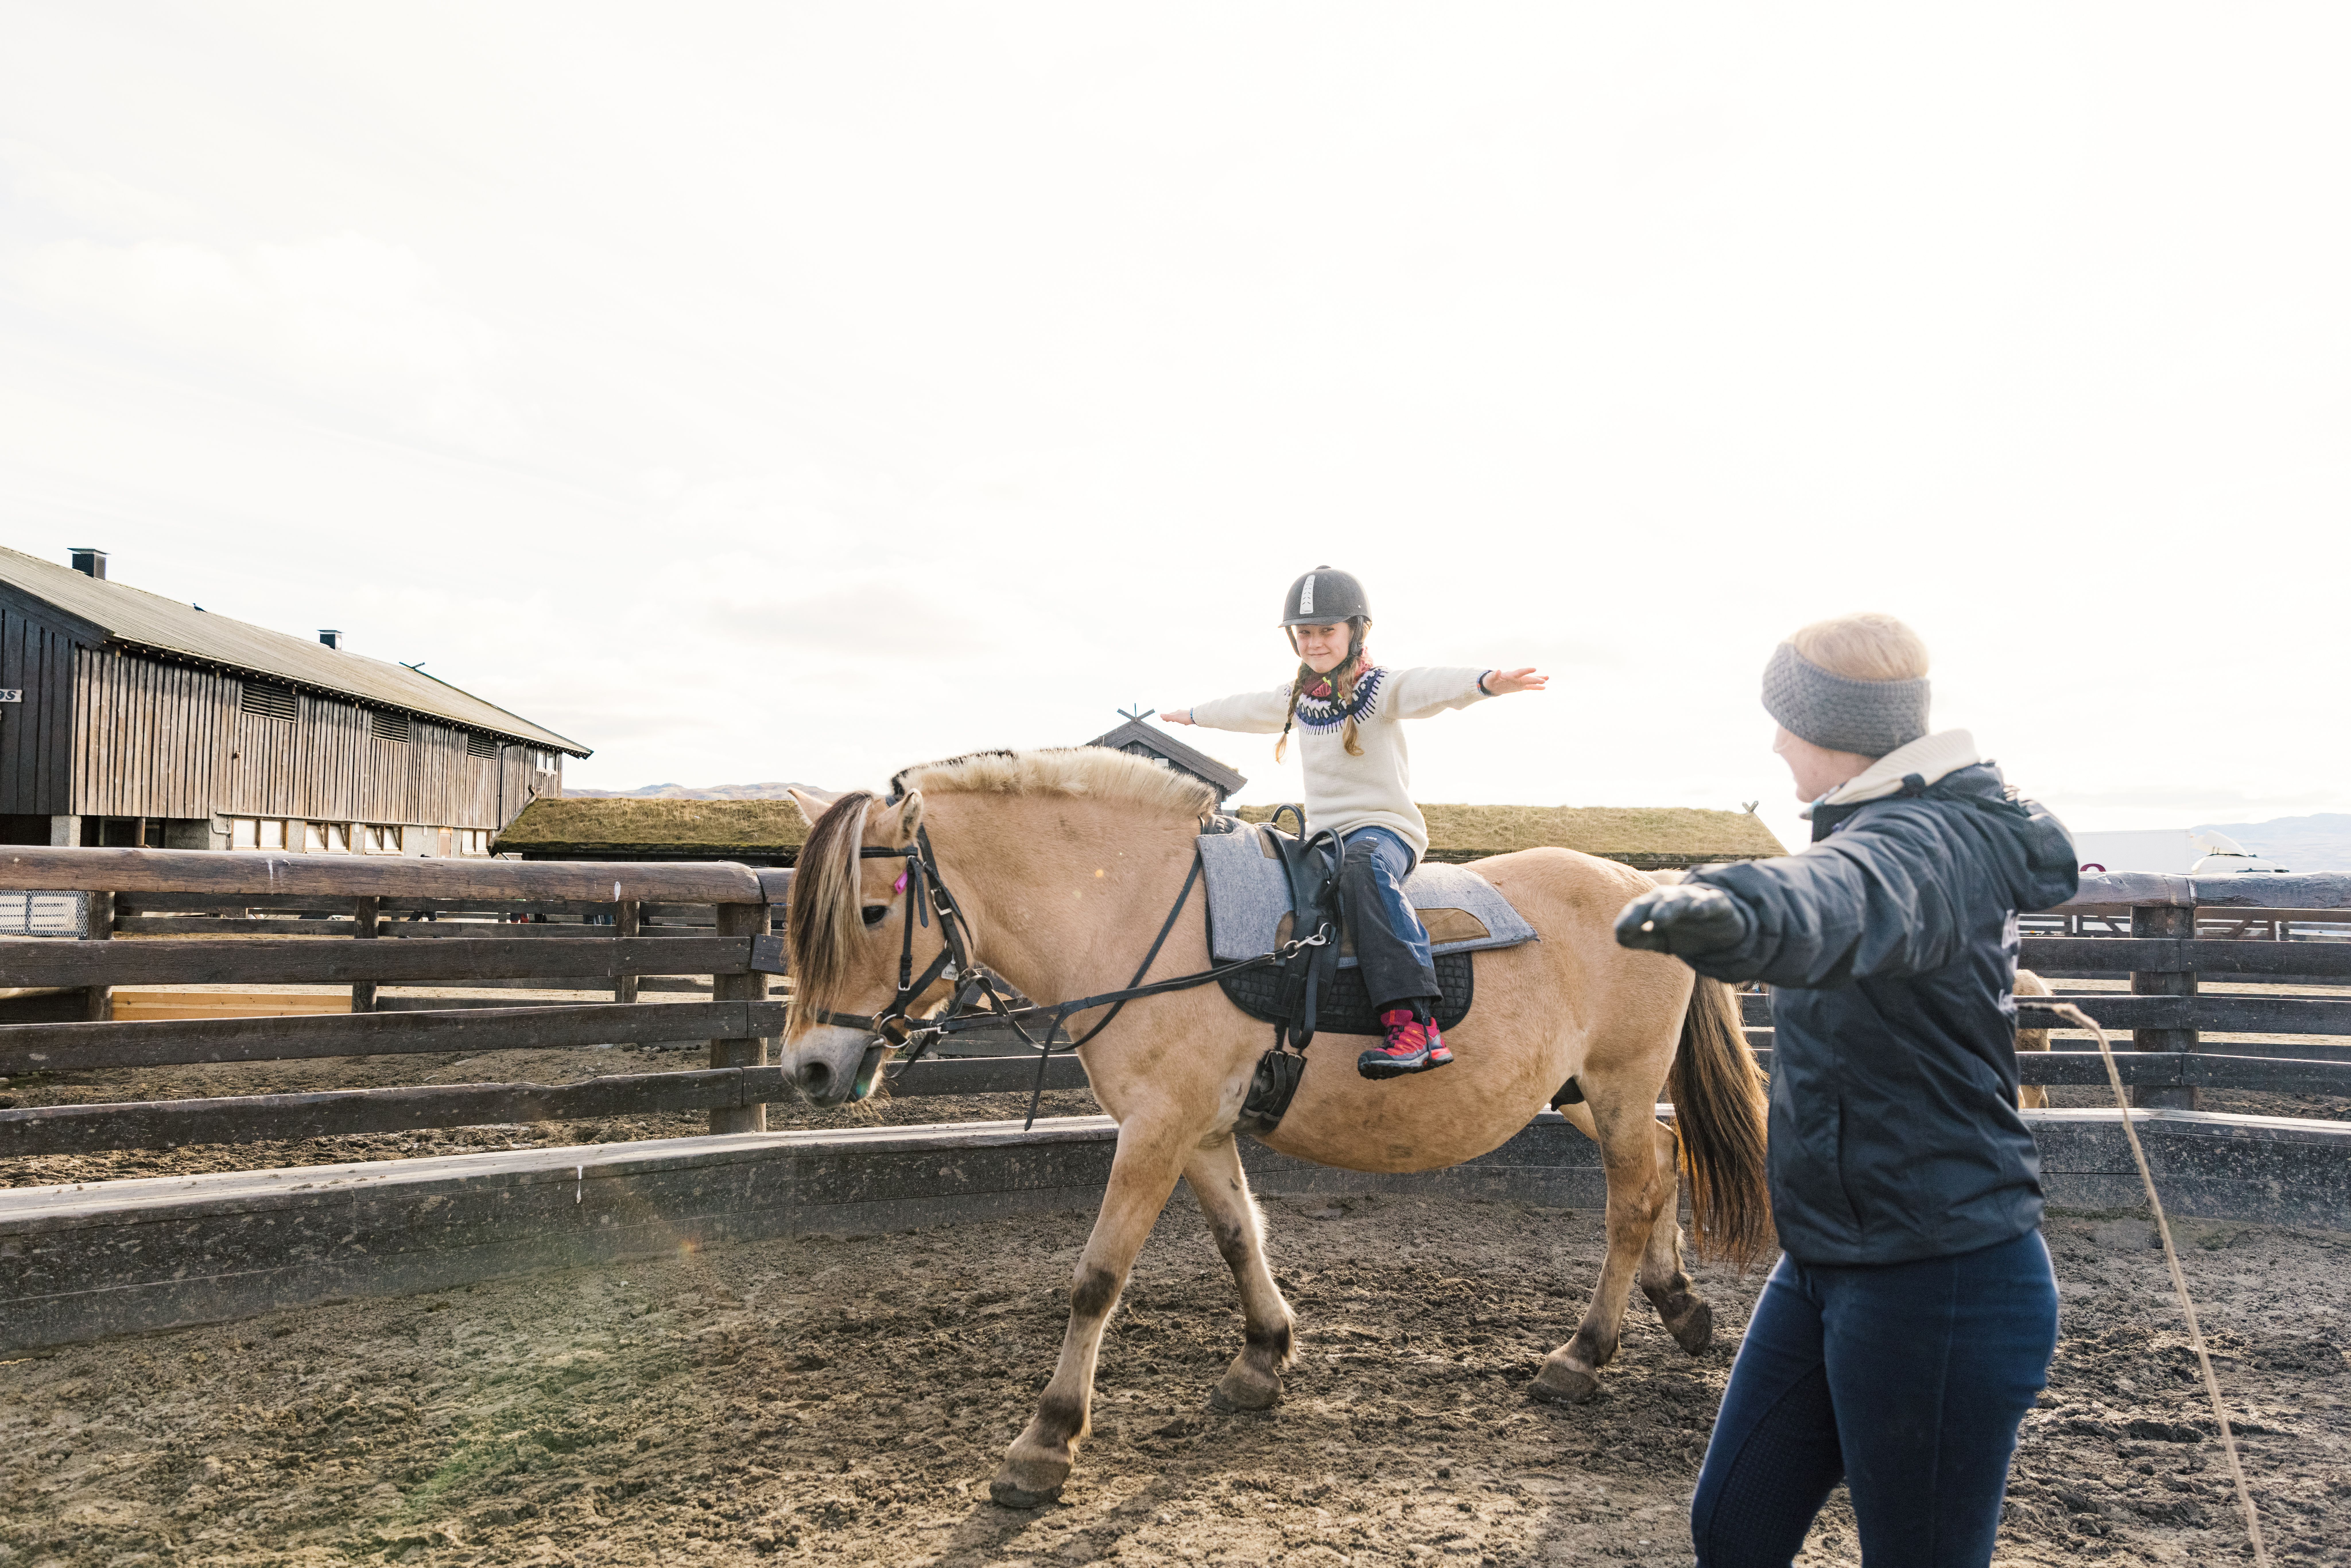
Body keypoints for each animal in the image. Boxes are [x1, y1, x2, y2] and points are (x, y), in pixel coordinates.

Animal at [781, 748, 1770, 1508]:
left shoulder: (1156, 1127)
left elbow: (1098, 1279)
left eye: (871, 911)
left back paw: (1582, 1355)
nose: (811, 1070)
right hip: (1580, 1093)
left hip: (1616, 1083)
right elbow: (1236, 1237)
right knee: (1664, 1165)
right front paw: (1262, 1357)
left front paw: (1046, 1441)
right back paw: (1679, 1305)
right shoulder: (1197, 1128)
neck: (1137, 914)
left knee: (1631, 1198)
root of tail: (1650, 882)